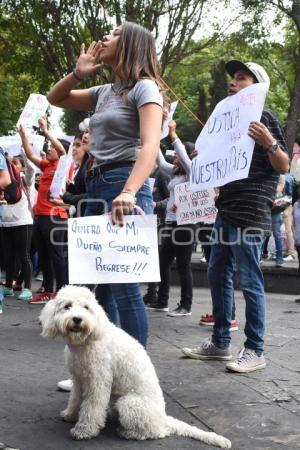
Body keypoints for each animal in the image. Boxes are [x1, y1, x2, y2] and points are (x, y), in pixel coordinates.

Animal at [39, 286, 232, 448]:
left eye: (86, 307)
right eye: (67, 306)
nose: (77, 319)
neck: (86, 340)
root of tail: (163, 418)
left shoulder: (98, 382)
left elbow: (91, 408)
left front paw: (84, 430)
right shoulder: (79, 378)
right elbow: (75, 399)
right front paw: (70, 415)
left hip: (129, 404)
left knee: (157, 433)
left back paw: (128, 432)